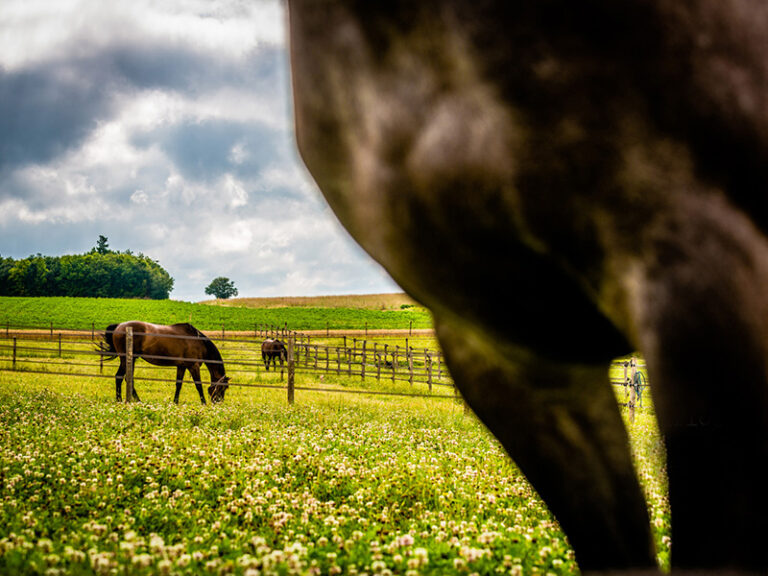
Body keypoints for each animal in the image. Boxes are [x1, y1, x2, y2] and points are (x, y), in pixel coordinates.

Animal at [100, 320, 230, 404]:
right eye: (223, 388)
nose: (218, 402)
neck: (198, 341)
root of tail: (119, 326)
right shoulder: (194, 366)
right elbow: (198, 385)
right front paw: (203, 403)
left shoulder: (182, 366)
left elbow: (178, 384)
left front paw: (175, 402)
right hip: (126, 359)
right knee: (120, 377)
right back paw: (121, 400)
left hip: (131, 360)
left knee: (127, 378)